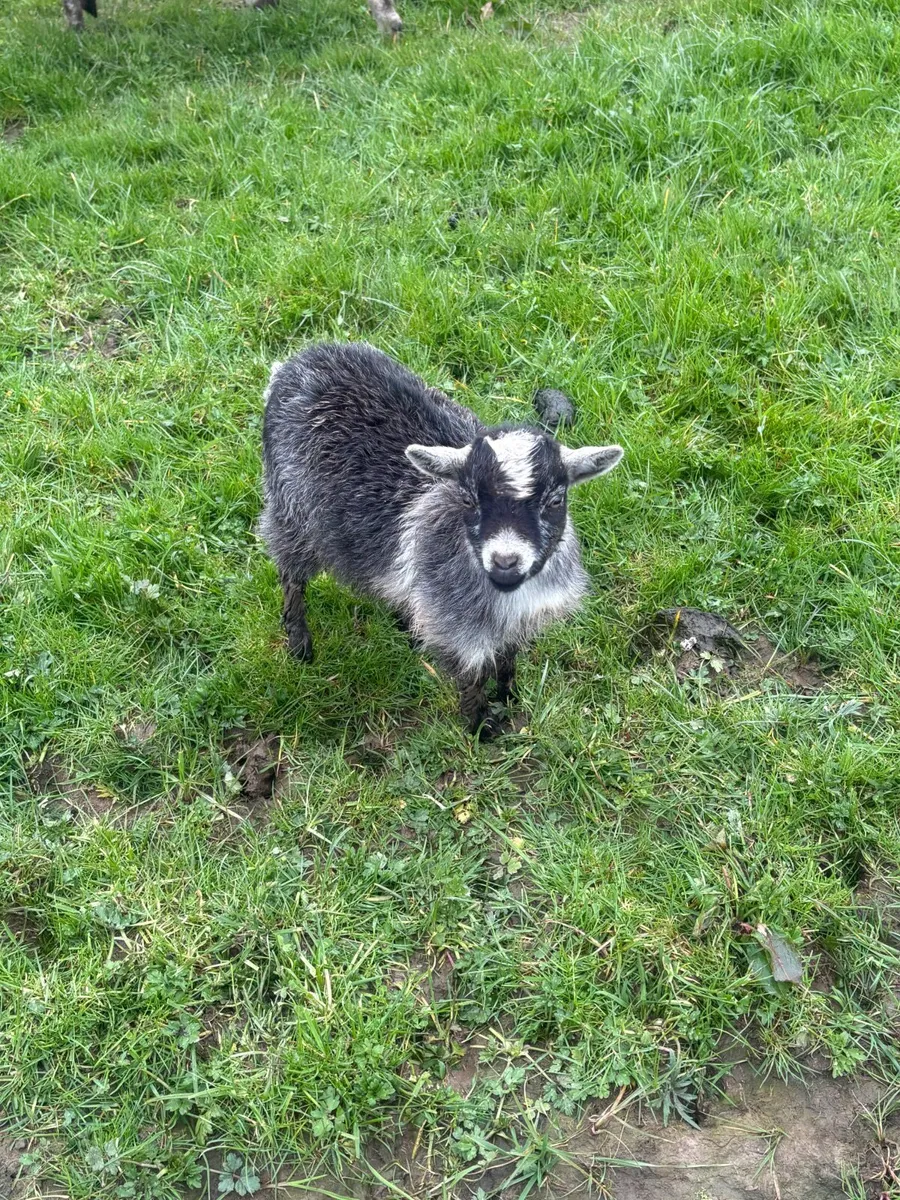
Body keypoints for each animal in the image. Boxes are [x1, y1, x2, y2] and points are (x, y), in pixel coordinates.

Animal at [259, 342, 623, 736]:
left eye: (555, 500)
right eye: (468, 499)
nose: (505, 561)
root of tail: (300, 359)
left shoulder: (518, 622)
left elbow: (508, 657)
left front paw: (509, 696)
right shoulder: (455, 626)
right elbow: (471, 674)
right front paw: (481, 726)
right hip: (290, 510)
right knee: (290, 573)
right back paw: (299, 642)